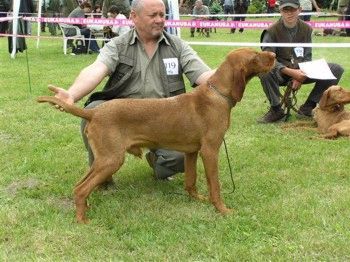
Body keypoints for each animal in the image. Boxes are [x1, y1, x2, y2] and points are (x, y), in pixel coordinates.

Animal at [36, 47, 276, 223]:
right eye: (255, 56)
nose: (274, 55)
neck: (217, 94)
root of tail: (93, 113)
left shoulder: (192, 152)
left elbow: (191, 181)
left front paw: (197, 199)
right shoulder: (210, 151)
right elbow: (214, 186)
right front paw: (222, 210)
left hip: (103, 159)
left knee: (79, 185)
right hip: (111, 159)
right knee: (81, 189)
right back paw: (82, 220)